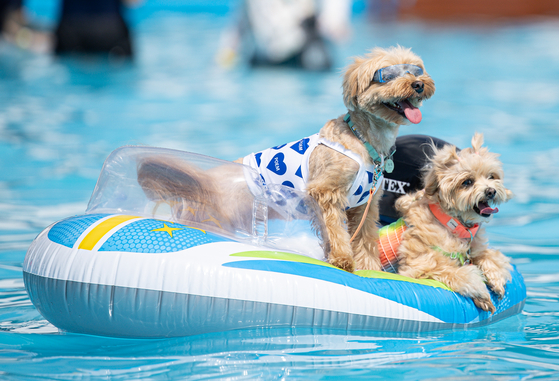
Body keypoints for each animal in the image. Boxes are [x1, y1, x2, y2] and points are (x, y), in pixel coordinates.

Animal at [138, 46, 436, 272]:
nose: (418, 84)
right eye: (387, 75)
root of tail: (205, 181)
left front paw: (370, 268)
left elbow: (365, 239)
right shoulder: (326, 193)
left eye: (416, 70)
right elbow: (336, 232)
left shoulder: (366, 205)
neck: (362, 139)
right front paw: (342, 259)